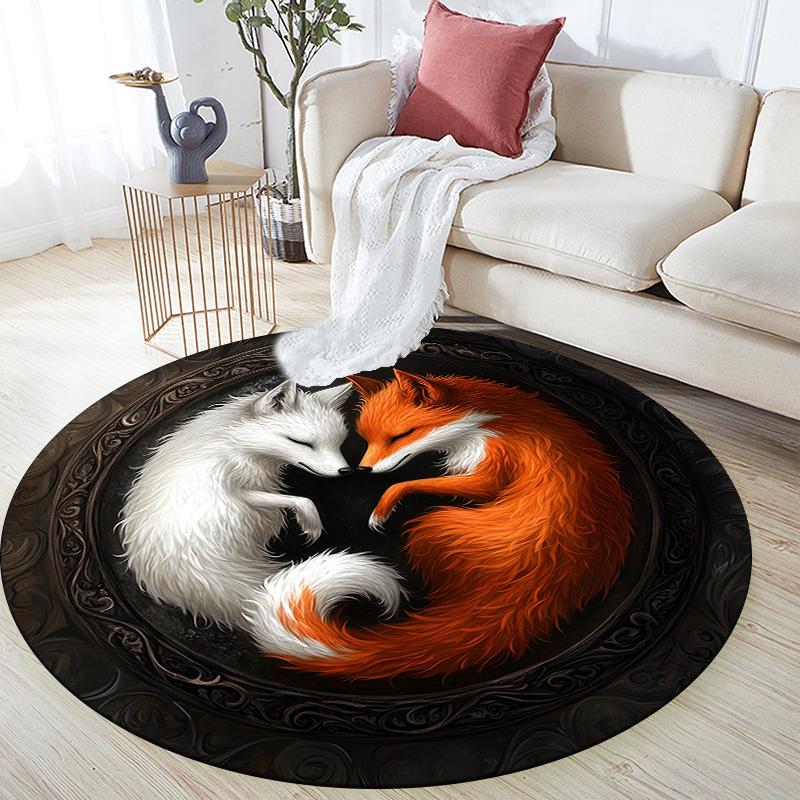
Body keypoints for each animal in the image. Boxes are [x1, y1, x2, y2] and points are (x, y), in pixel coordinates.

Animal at [119, 380, 404, 638]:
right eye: (302, 443)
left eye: (339, 442)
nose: (345, 471)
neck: (234, 444)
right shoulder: (236, 490)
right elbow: (302, 500)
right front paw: (310, 524)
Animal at [246, 369, 634, 680]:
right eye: (367, 439)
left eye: (400, 435)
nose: (361, 470)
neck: (492, 421)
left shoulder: (492, 469)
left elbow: (405, 483)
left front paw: (381, 509)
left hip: (431, 522)